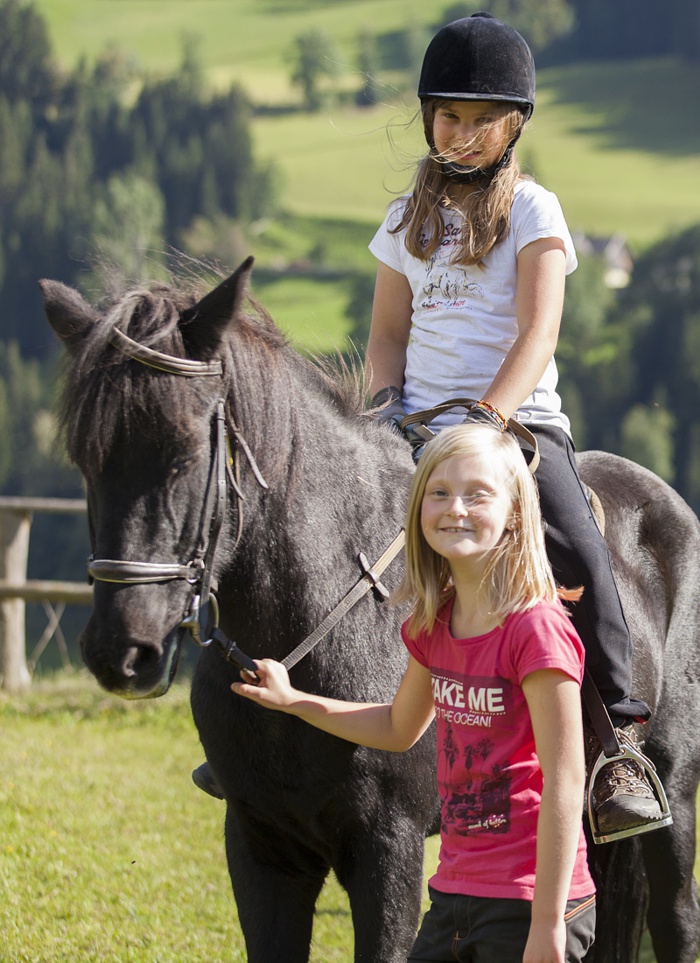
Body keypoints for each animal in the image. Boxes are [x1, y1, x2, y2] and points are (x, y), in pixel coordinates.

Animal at [41, 260, 700, 960]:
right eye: (86, 461)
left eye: (186, 453)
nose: (121, 652)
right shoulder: (259, 844)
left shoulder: (388, 846)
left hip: (672, 797)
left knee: (675, 918)